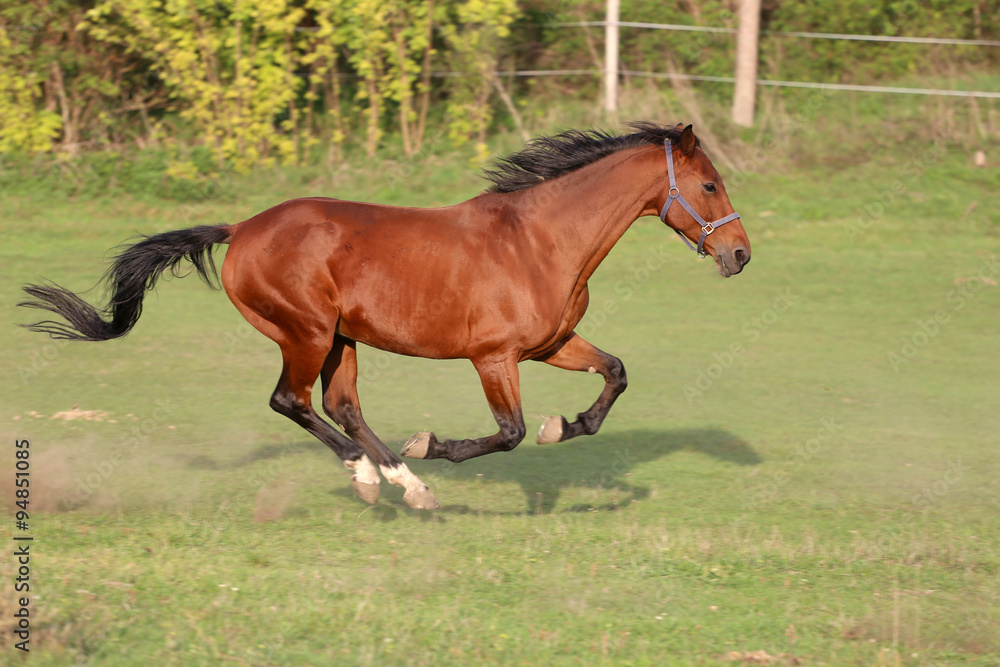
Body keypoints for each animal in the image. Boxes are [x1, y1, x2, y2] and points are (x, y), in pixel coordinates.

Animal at [20, 122, 751, 511]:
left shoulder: (552, 342)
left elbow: (614, 373)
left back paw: (407, 484)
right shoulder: (494, 357)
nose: (740, 254)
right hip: (306, 332)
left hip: (341, 338)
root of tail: (242, 228)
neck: (539, 241)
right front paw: (436, 444)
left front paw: (564, 426)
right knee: (292, 400)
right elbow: (508, 432)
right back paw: (379, 476)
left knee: (340, 405)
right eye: (710, 184)